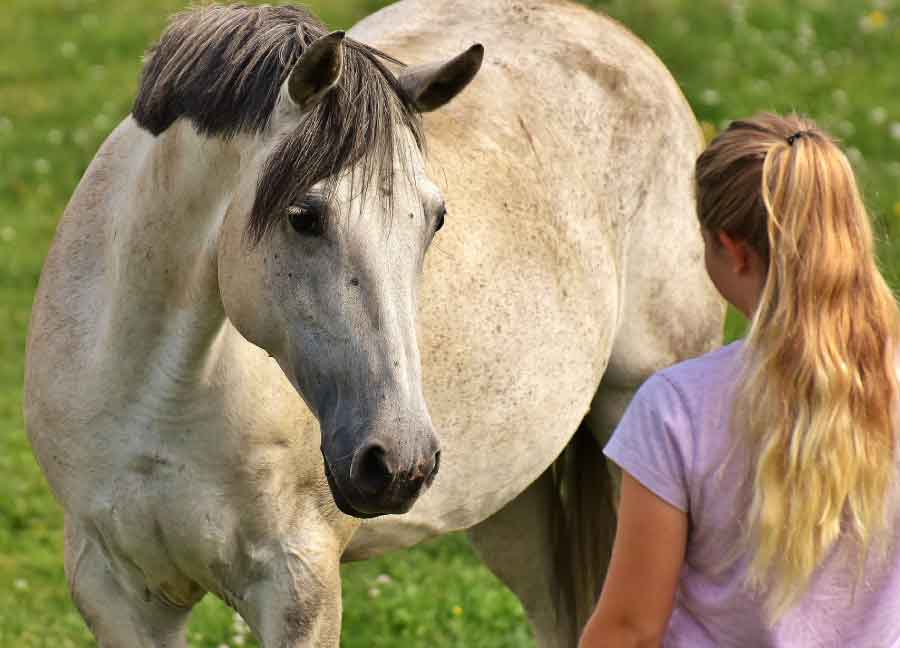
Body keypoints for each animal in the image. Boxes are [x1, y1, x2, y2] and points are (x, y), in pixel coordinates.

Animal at [24, 1, 724, 646]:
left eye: (435, 219)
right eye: (303, 216)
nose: (398, 463)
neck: (159, 395)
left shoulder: (299, 586)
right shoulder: (117, 590)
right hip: (512, 505)